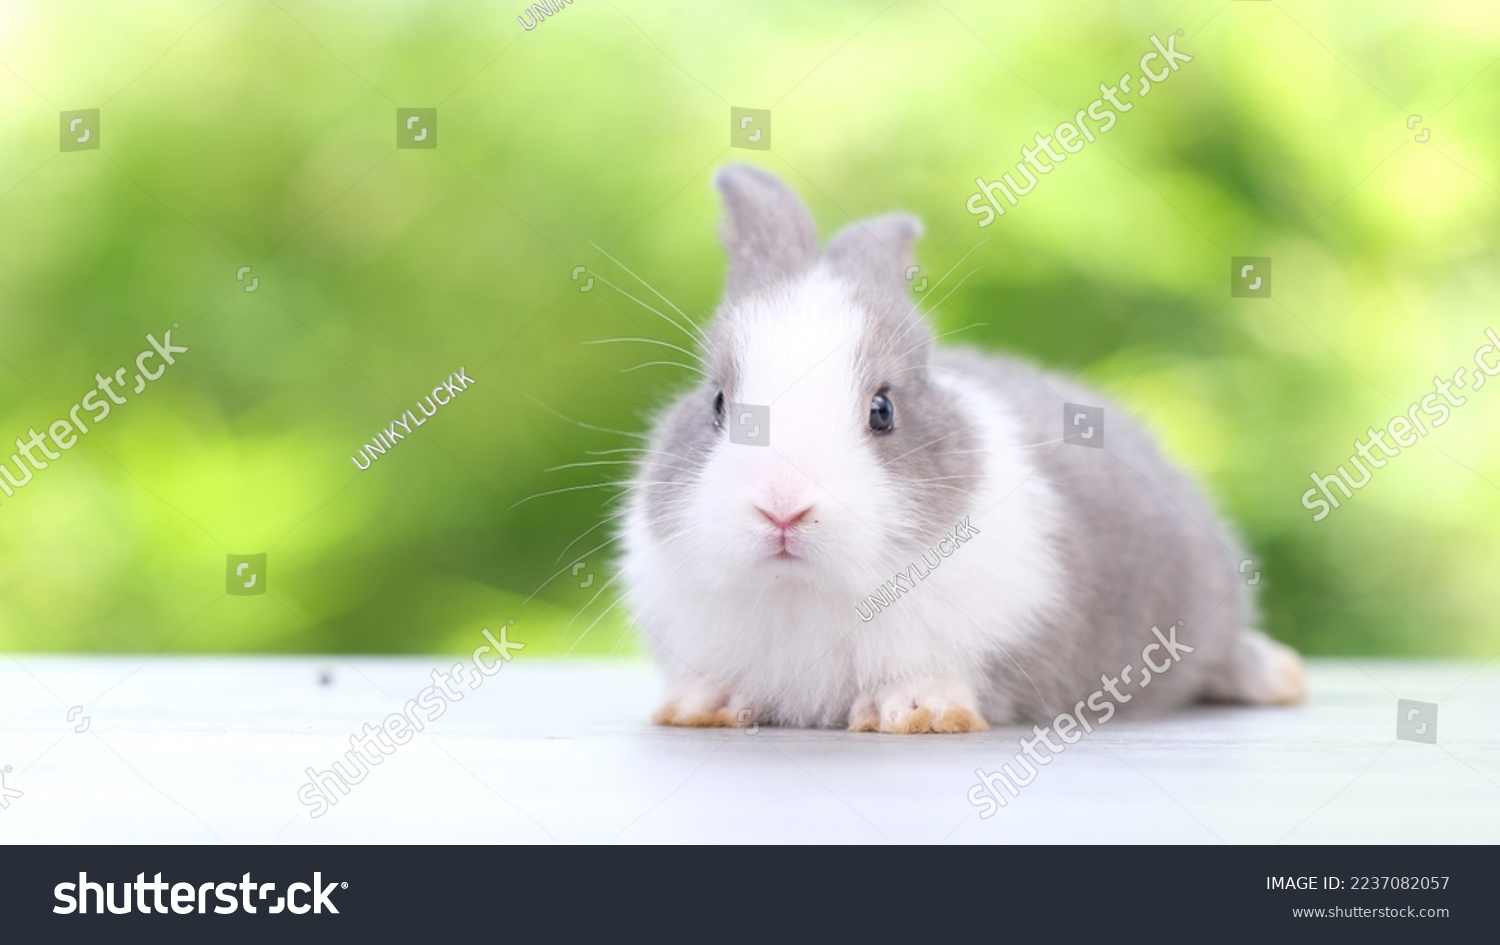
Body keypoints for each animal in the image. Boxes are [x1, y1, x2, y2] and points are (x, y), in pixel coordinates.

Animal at [618, 164, 1305, 734]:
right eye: (716, 404)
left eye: (883, 410)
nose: (782, 509)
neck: (804, 591)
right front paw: (699, 706)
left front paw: (915, 712)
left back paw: (1281, 677)